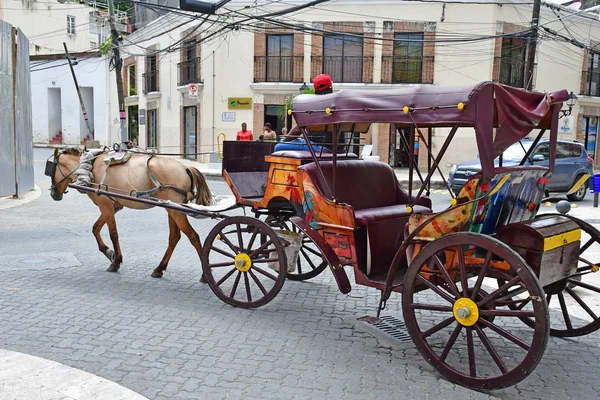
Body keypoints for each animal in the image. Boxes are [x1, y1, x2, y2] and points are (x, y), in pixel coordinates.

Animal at [49, 147, 213, 278]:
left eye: (50, 169)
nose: (53, 193)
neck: (91, 165)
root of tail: (186, 168)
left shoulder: (105, 205)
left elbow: (113, 234)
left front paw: (115, 261)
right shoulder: (113, 206)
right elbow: (95, 228)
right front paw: (109, 253)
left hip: (175, 210)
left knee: (193, 237)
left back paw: (205, 274)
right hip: (172, 208)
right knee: (174, 237)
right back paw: (159, 268)